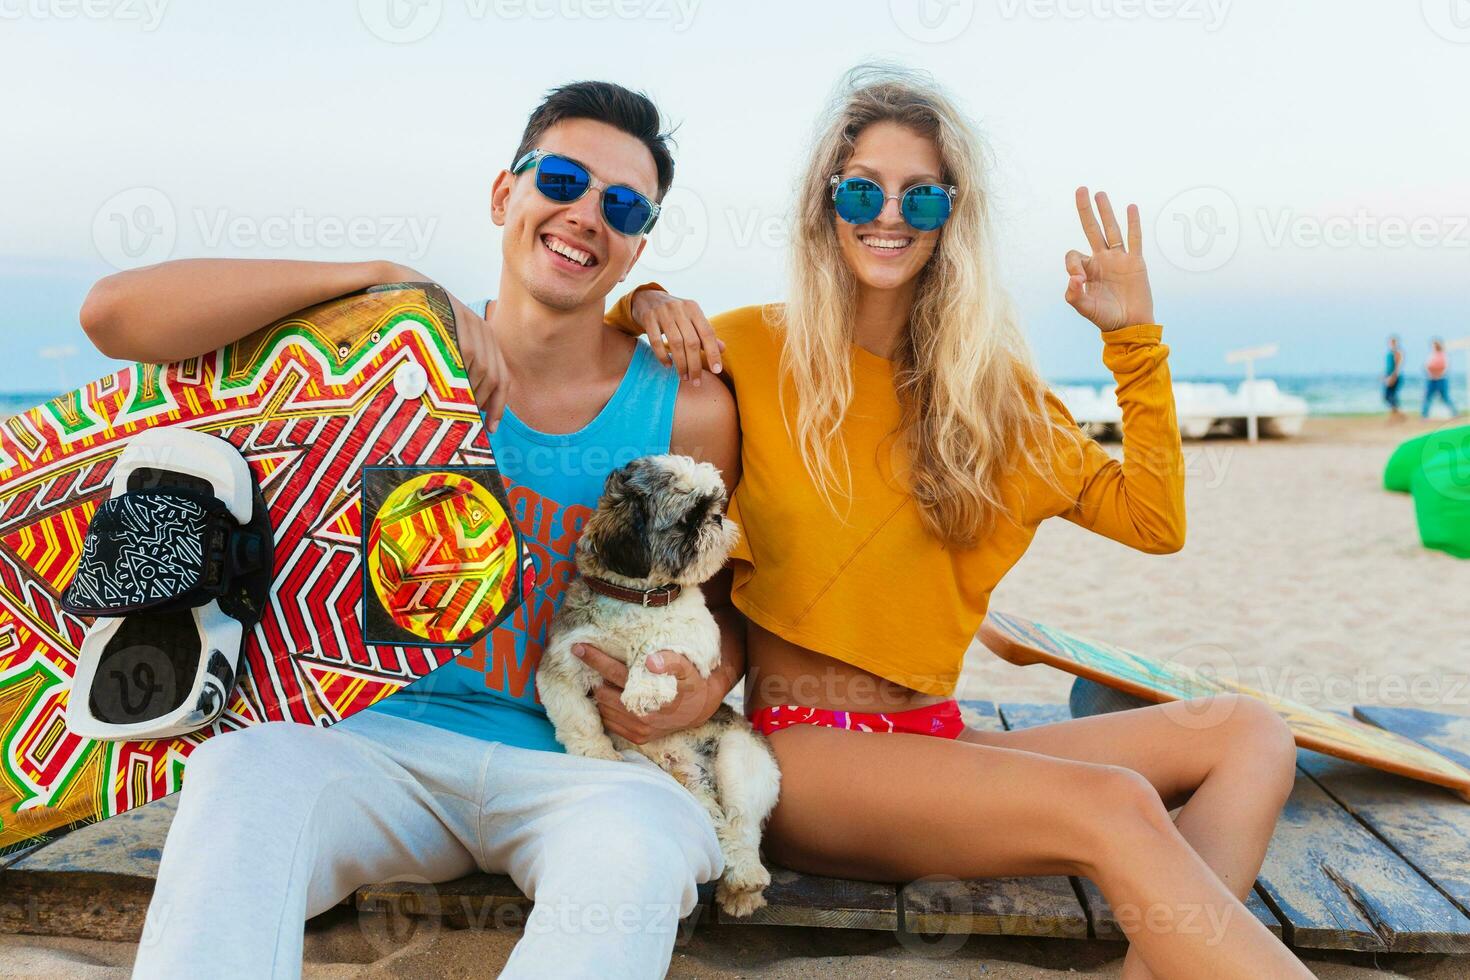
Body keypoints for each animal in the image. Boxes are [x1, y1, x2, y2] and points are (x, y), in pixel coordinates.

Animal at [543, 455, 782, 916]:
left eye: (715, 505)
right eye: (689, 518)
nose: (718, 518)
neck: (636, 599)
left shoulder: (699, 634)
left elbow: (658, 642)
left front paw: (644, 690)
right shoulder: (563, 662)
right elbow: (577, 719)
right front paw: (598, 755)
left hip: (739, 762)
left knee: (743, 828)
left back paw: (746, 878)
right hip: (695, 793)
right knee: (723, 829)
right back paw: (739, 887)